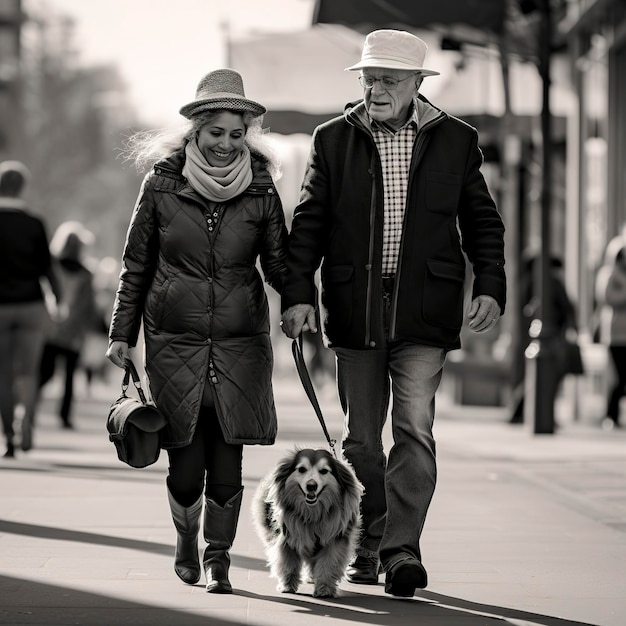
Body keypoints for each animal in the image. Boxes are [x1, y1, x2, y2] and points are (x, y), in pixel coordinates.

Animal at [251, 446, 364, 596]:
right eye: (301, 469)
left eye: (324, 471)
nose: (311, 486)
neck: (312, 513)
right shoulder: (287, 537)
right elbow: (288, 563)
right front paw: (287, 585)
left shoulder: (335, 539)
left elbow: (329, 564)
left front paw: (324, 588)